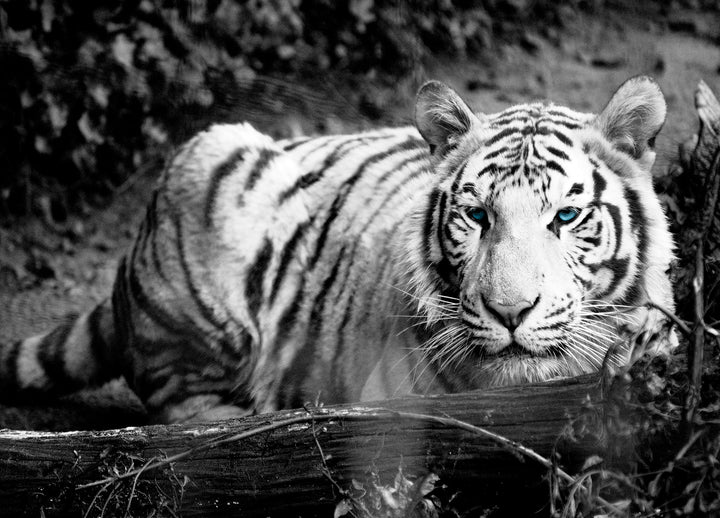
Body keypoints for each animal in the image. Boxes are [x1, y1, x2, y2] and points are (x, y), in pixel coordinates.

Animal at [0, 76, 677, 424]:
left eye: (566, 216)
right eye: (477, 216)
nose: (510, 312)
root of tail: (128, 263)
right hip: (215, 171)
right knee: (177, 405)